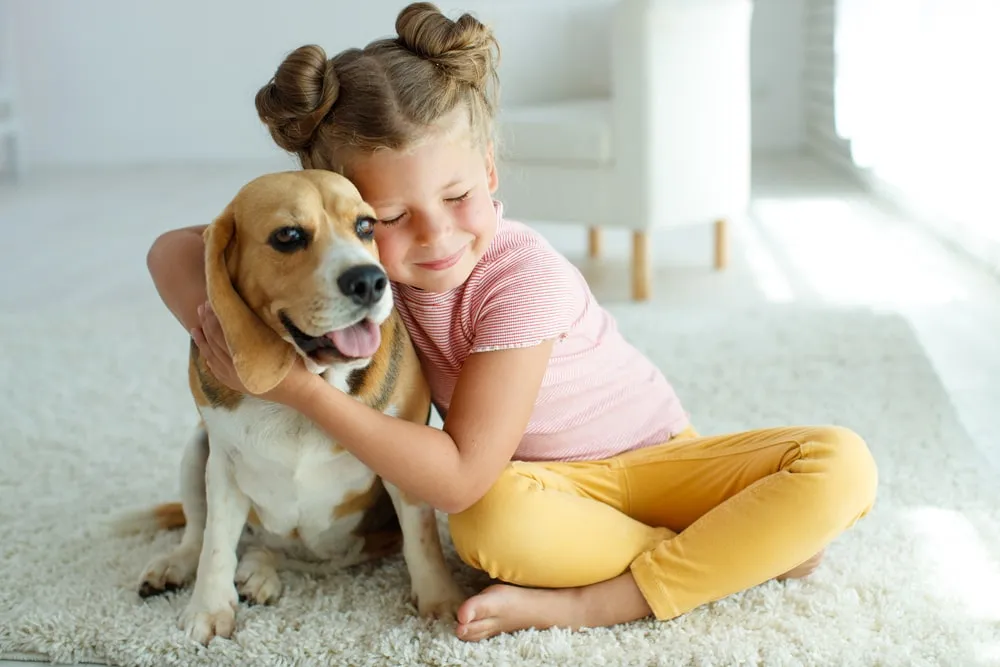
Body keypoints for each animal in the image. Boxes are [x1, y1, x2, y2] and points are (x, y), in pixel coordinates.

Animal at [128, 170, 464, 644]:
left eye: (366, 226)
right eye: (288, 236)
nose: (369, 281)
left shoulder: (410, 465)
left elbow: (423, 544)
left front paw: (440, 602)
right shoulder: (224, 465)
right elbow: (216, 545)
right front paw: (208, 610)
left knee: (288, 556)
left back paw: (259, 572)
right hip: (198, 450)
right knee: (199, 532)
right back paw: (180, 565)